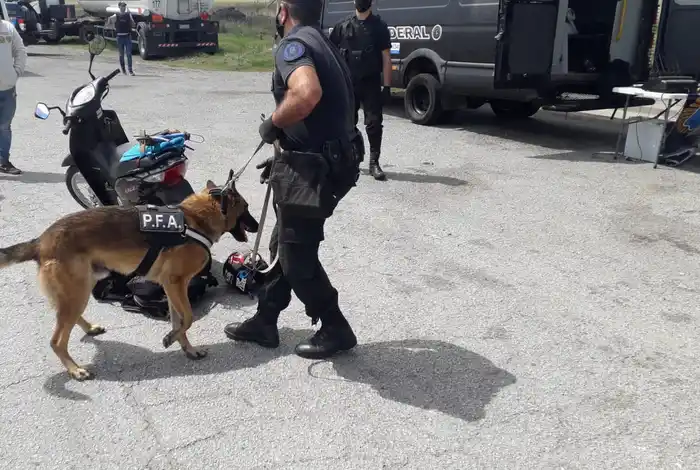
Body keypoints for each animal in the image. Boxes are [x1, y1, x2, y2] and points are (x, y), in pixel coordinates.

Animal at [0, 176, 259, 381]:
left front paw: (186, 348)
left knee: (68, 319)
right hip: (77, 291)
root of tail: (41, 241)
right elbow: (188, 318)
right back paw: (74, 369)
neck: (196, 218)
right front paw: (171, 338)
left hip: (81, 288)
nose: (257, 225)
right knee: (56, 340)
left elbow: (180, 321)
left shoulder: (172, 287)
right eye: (246, 207)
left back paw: (89, 329)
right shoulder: (175, 283)